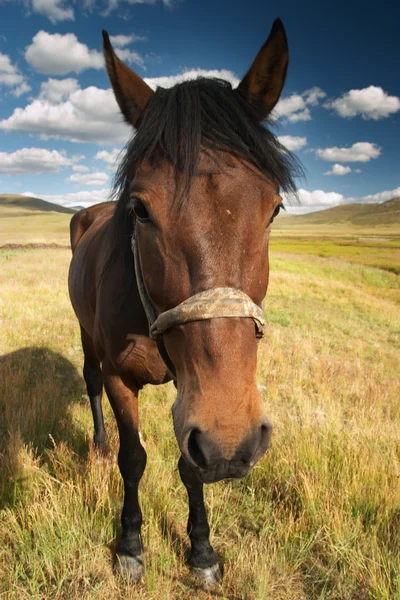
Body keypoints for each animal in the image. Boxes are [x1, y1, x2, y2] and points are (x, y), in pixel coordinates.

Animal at [69, 19, 300, 584]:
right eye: (140, 209)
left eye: (274, 208)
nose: (233, 439)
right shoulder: (121, 378)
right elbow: (134, 458)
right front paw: (130, 544)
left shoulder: (191, 393)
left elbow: (190, 466)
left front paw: (201, 551)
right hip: (86, 338)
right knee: (89, 383)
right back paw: (99, 447)